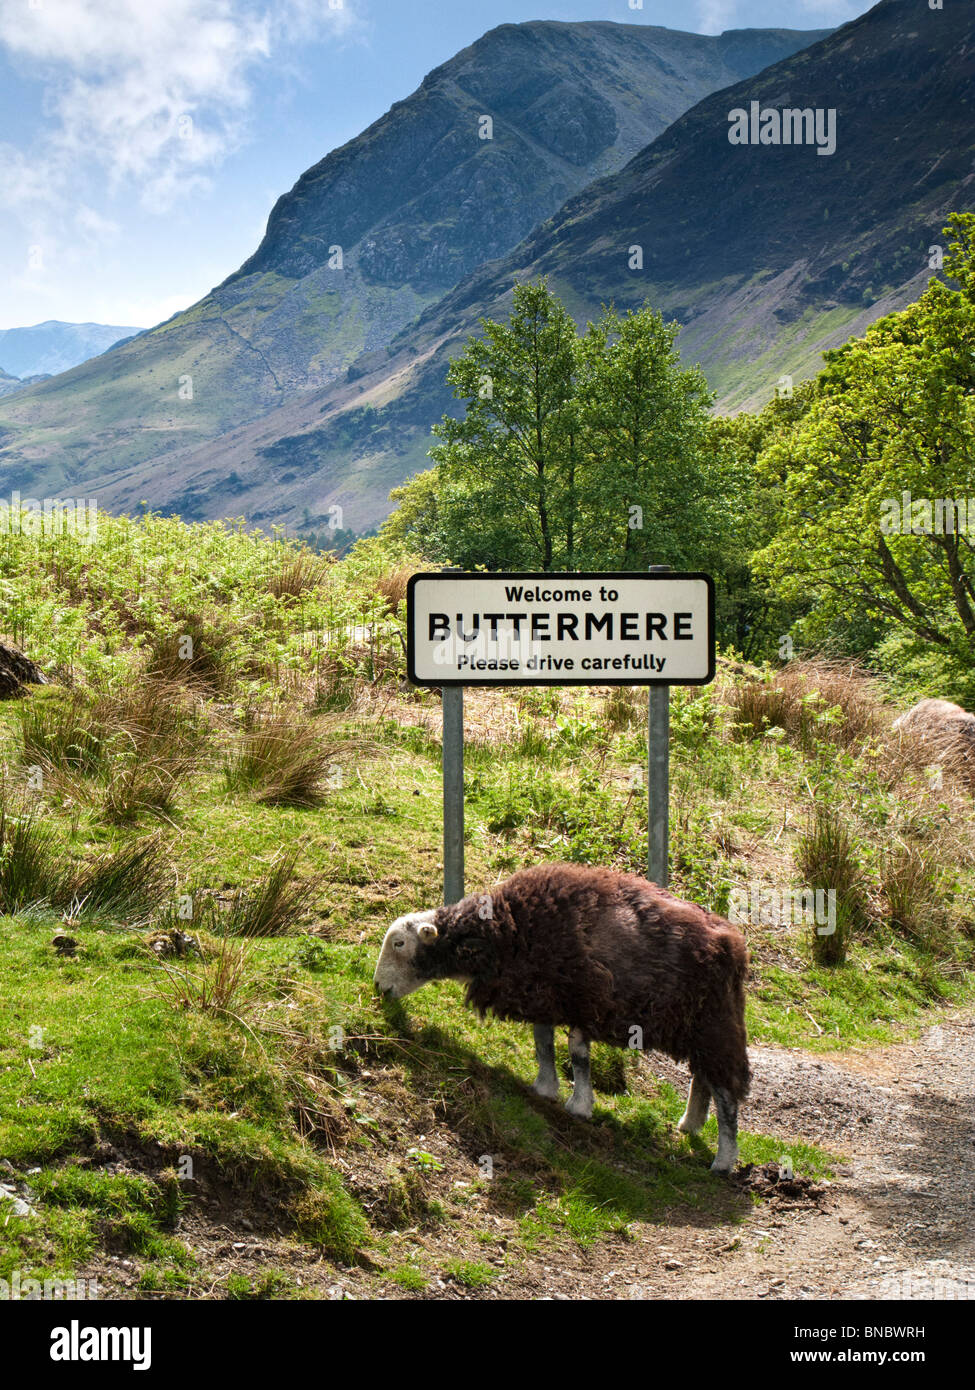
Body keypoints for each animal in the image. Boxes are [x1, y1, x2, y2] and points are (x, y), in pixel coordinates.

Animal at [375, 856, 751, 1173]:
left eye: (399, 944)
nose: (378, 987)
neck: (503, 931)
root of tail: (734, 945)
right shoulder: (545, 997)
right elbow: (543, 1042)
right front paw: (545, 1087)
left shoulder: (583, 999)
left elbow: (577, 1055)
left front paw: (579, 1105)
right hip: (698, 1030)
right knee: (703, 1078)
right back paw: (691, 1124)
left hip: (715, 1025)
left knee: (725, 1093)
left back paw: (723, 1160)